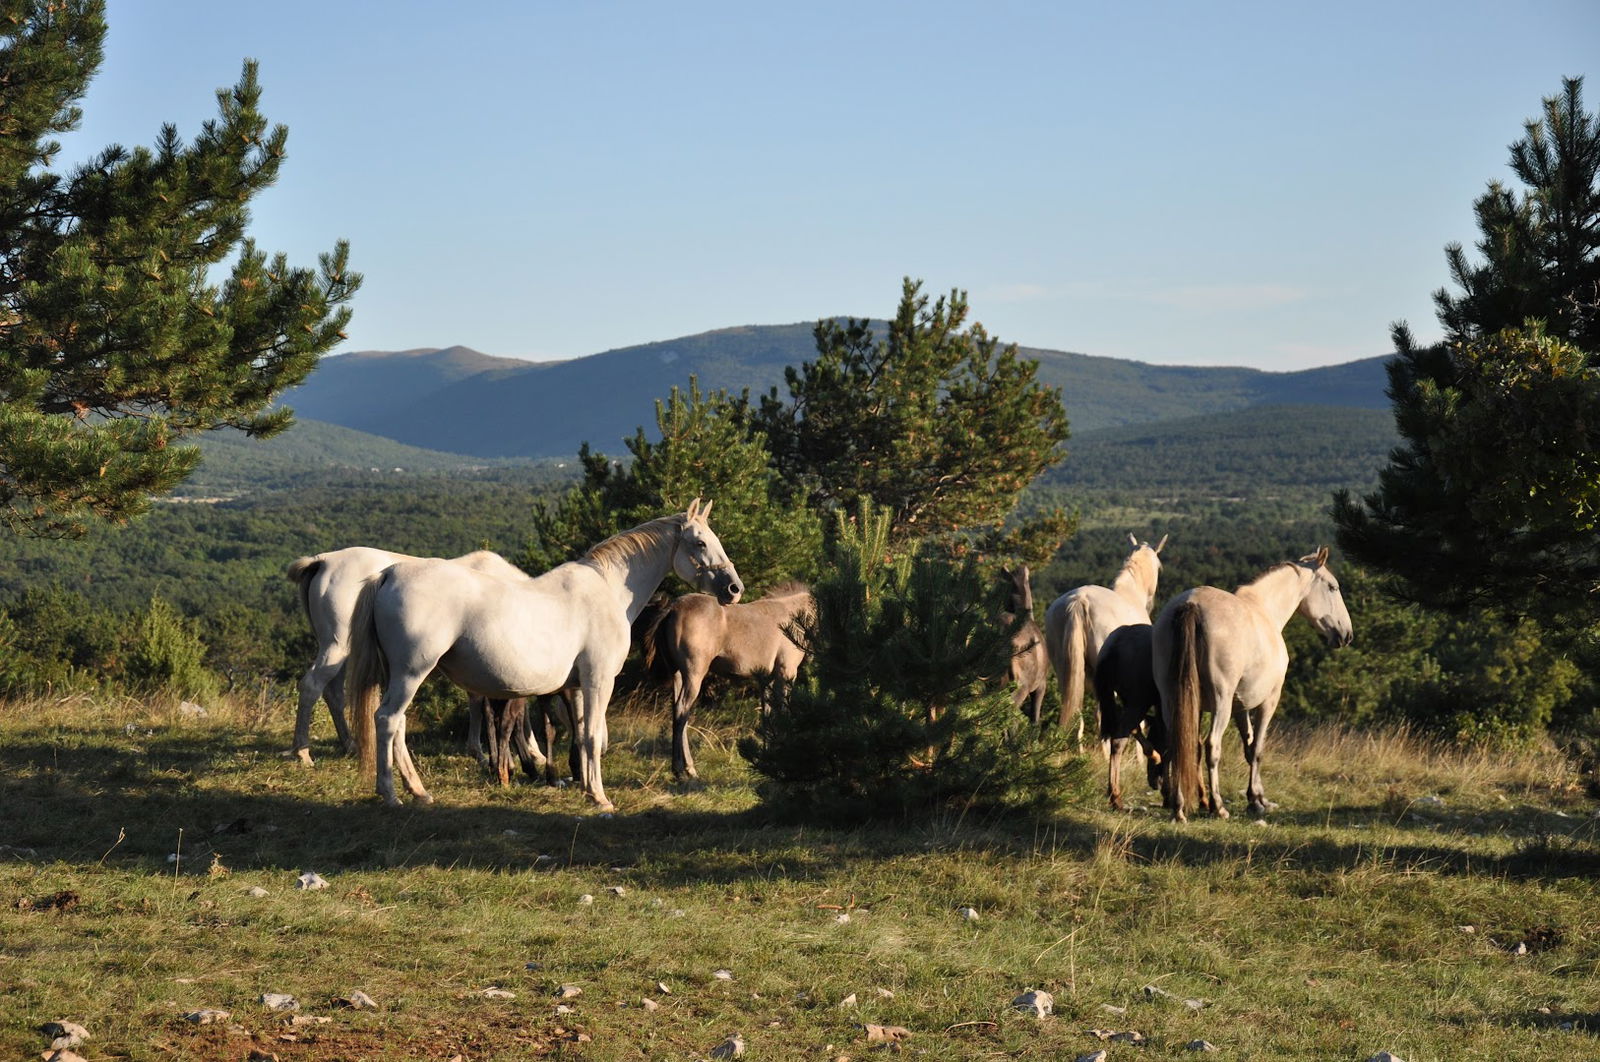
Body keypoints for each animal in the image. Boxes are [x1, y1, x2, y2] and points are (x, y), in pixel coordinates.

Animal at [284, 546, 528, 764]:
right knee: (311, 686)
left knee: (333, 694)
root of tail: (323, 561)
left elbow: (478, 703)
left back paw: (350, 745)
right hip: (336, 646)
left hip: (340, 650)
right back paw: (302, 752)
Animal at [347, 502, 739, 809]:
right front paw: (600, 798)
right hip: (412, 672)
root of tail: (389, 573)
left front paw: (584, 786)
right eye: (700, 542)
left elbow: (581, 733)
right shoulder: (598, 681)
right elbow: (592, 735)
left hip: (400, 675)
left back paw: (417, 791)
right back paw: (391, 794)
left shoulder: (576, 687)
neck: (609, 591)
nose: (734, 588)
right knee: (387, 720)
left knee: (398, 725)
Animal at [640, 582, 812, 780]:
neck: (792, 615)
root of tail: (672, 608)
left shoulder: (766, 679)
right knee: (682, 711)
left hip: (677, 673)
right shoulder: (786, 673)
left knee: (676, 710)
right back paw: (683, 770)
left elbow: (767, 715)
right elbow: (783, 713)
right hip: (694, 674)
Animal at [1158, 546, 1356, 818]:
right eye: (1333, 587)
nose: (1346, 635)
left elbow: (1248, 747)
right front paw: (1256, 800)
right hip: (1220, 703)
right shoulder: (1268, 701)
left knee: (1178, 743)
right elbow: (1258, 749)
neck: (1264, 610)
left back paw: (1178, 807)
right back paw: (1218, 806)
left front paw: (1256, 797)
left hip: (1172, 699)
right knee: (1212, 746)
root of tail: (1191, 604)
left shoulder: (1240, 706)